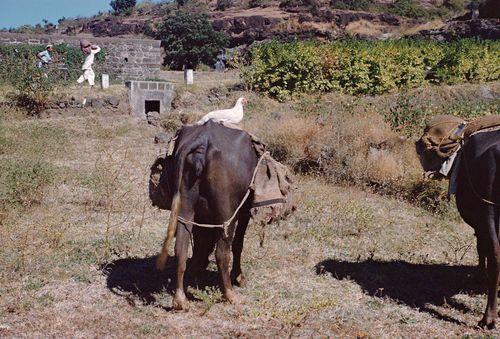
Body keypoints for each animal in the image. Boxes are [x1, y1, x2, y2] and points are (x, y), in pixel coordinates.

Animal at [155, 121, 258, 310]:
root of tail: (202, 139)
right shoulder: (245, 212)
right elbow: (238, 244)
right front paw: (239, 276)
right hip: (227, 213)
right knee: (222, 253)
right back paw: (230, 294)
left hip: (185, 205)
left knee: (181, 248)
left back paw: (180, 300)